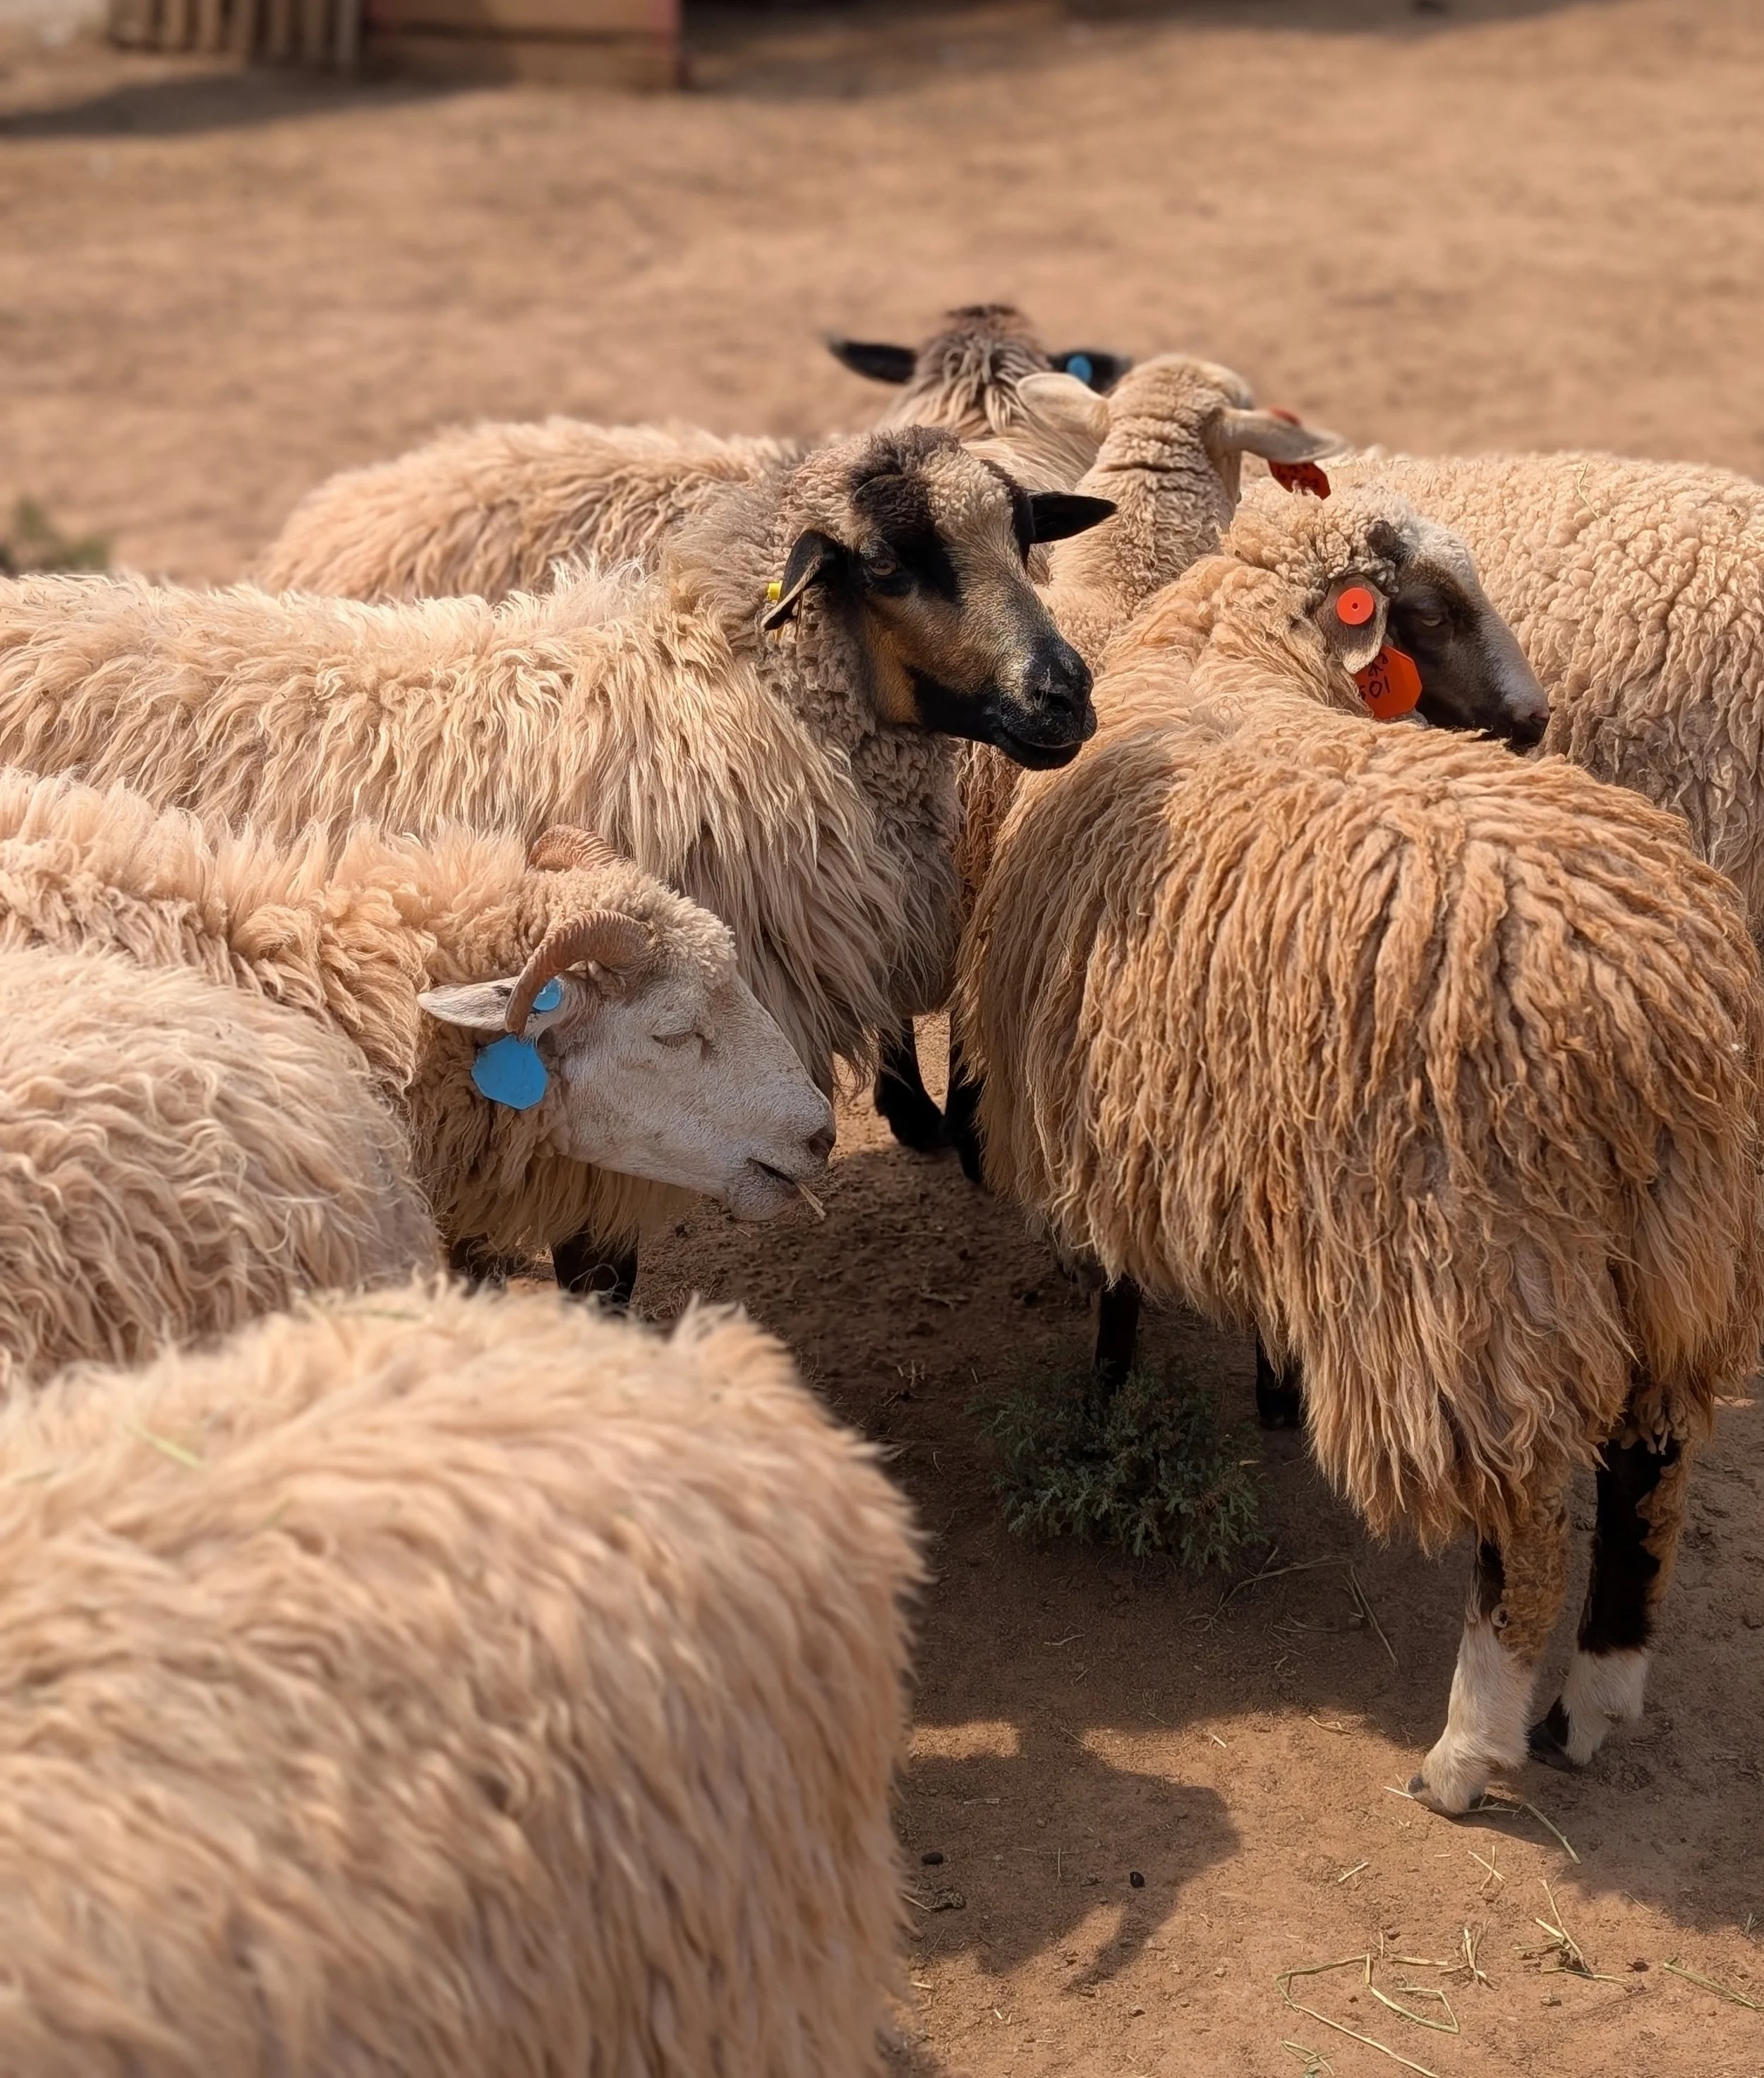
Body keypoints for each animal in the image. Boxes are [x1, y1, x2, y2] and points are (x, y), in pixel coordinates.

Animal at [956, 510, 1763, 1813]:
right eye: (1428, 611)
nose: (1533, 718)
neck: (1230, 661)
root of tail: (1646, 997)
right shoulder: (1213, 1135)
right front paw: (1272, 1383)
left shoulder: (1110, 1121)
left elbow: (1116, 1298)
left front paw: (1110, 1409)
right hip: (1675, 1248)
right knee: (1651, 1470)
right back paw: (1594, 1699)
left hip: (1478, 1273)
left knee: (1529, 1514)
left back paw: (1468, 1751)